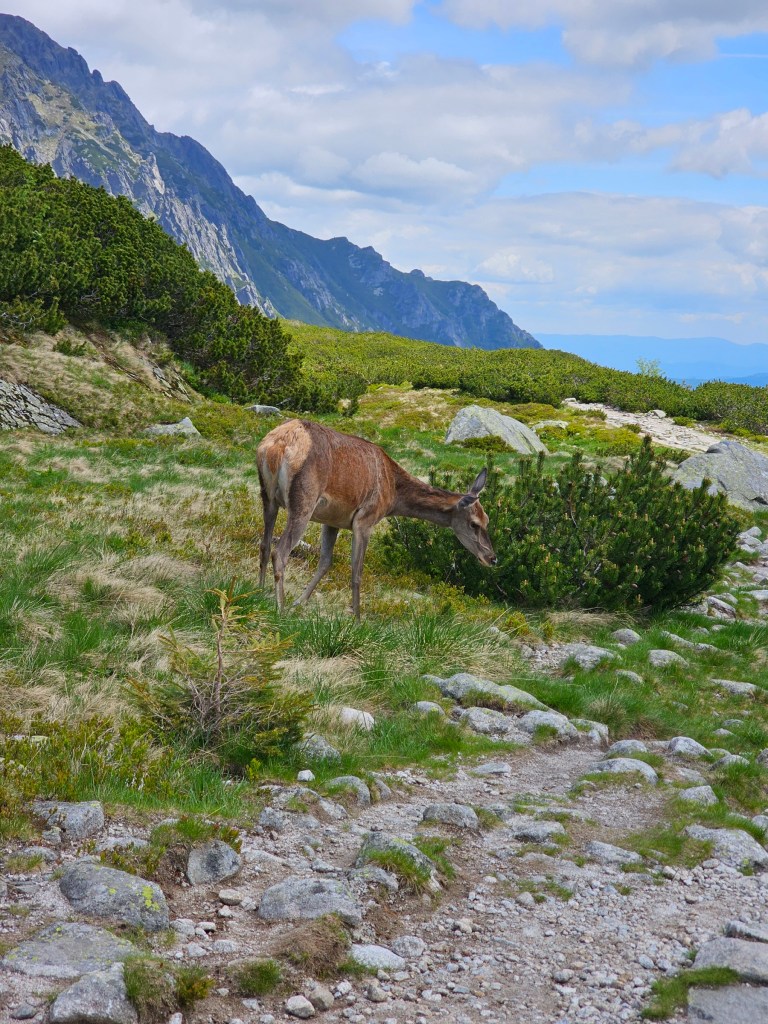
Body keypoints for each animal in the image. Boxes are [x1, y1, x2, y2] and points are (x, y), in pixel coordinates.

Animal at [256, 418, 496, 618]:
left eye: (488, 520)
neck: (393, 497)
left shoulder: (332, 520)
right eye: (474, 523)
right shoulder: (365, 519)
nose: (492, 558)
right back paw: (280, 608)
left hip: (268, 497)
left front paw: (299, 602)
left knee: (265, 544)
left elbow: (325, 562)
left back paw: (259, 591)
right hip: (304, 501)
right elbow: (357, 572)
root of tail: (276, 447)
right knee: (280, 551)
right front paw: (357, 620)